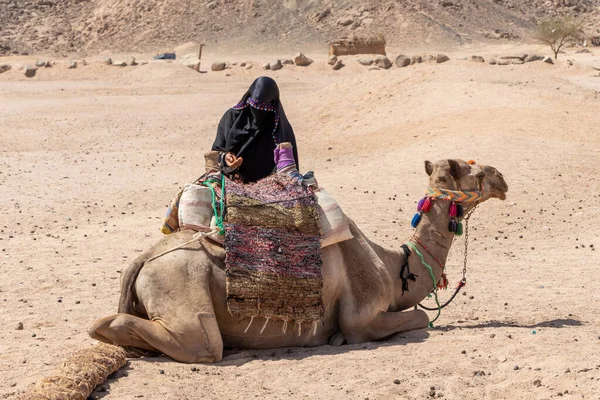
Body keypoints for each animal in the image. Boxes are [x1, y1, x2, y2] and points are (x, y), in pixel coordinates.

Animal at [89, 159, 506, 362]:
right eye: (474, 170)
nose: (501, 178)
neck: (391, 267)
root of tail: (144, 258)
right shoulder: (362, 316)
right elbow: (418, 317)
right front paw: (336, 338)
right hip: (181, 289)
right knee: (195, 341)